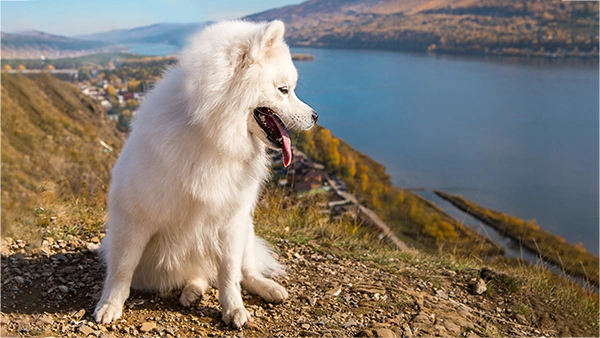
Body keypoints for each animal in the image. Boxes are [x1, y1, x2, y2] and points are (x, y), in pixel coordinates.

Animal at [94, 20, 318, 328]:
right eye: (283, 89)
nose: (316, 117)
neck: (214, 133)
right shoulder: (135, 218)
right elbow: (122, 268)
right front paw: (110, 304)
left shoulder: (232, 220)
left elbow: (229, 273)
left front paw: (233, 309)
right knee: (198, 275)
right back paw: (192, 291)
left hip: (246, 227)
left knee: (245, 270)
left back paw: (264, 287)